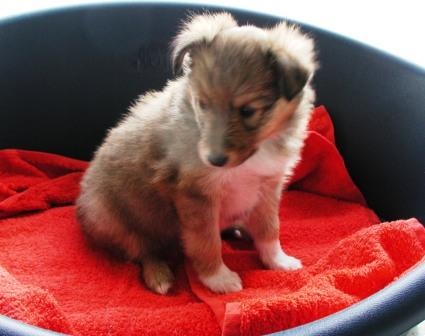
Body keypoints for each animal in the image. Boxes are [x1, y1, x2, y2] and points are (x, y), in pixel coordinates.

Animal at [75, 11, 314, 292]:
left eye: (247, 111)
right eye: (203, 104)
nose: (214, 160)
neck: (254, 154)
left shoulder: (268, 185)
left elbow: (270, 228)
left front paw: (278, 261)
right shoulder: (196, 196)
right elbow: (207, 242)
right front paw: (218, 279)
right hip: (113, 221)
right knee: (142, 250)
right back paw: (159, 276)